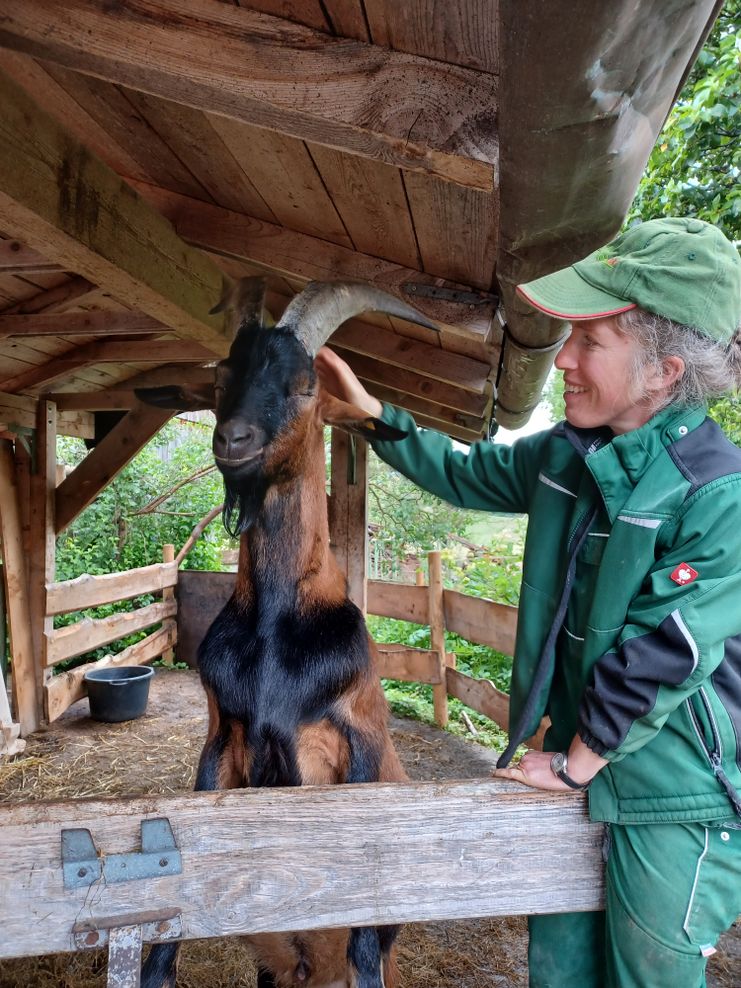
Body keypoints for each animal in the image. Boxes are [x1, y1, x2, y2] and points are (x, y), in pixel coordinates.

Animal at [137, 278, 440, 988]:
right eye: (222, 378)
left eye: (305, 386)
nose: (233, 439)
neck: (278, 628)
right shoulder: (221, 739)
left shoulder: (358, 742)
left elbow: (364, 940)